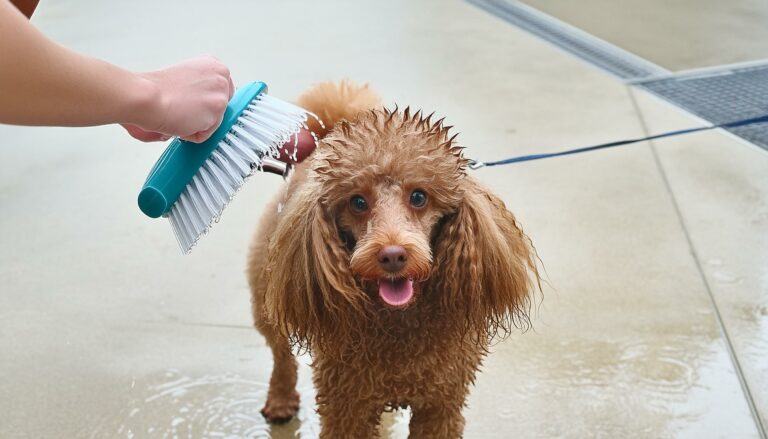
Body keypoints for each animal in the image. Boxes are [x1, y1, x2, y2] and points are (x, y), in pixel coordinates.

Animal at [248, 81, 540, 438]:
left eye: (419, 197)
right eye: (358, 202)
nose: (392, 255)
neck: (399, 322)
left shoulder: (441, 404)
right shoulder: (346, 406)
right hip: (266, 296)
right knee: (281, 355)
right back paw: (280, 400)